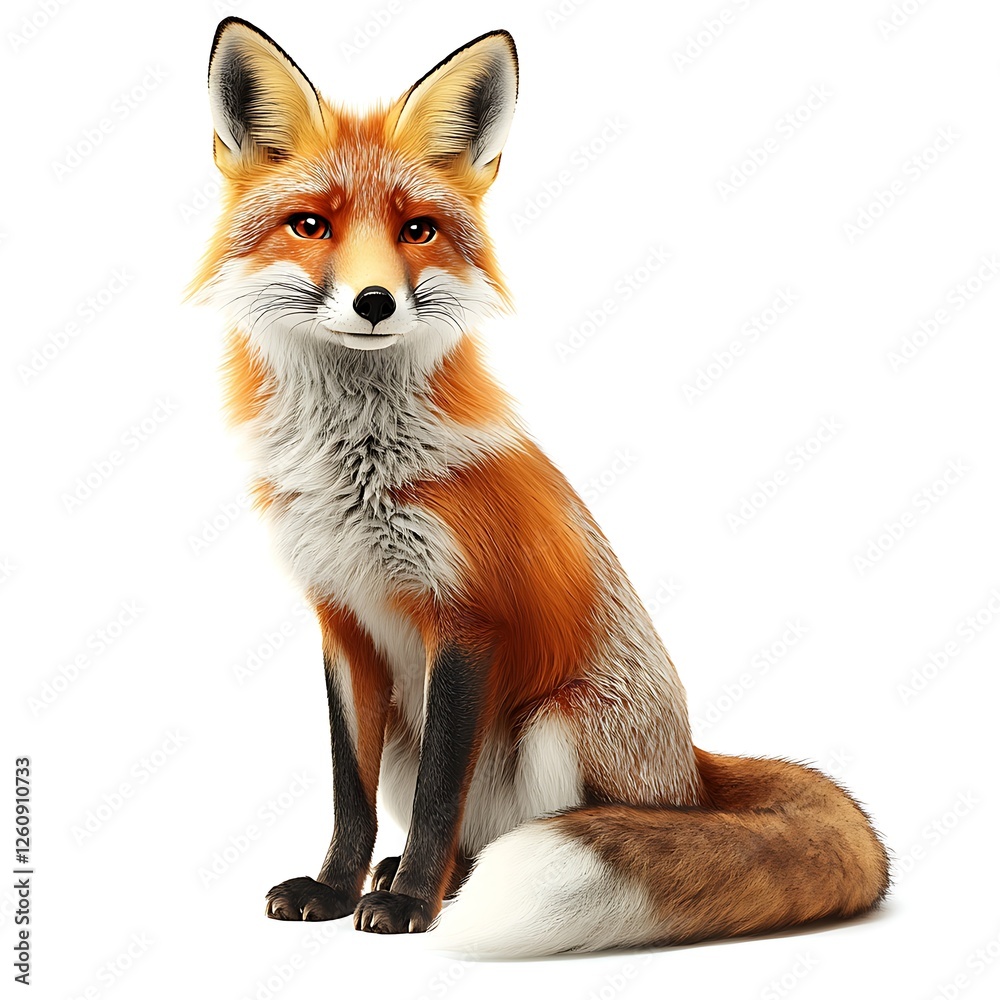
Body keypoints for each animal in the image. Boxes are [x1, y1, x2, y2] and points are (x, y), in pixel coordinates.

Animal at [192, 17, 890, 957]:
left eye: (418, 229)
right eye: (310, 225)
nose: (374, 301)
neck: (361, 468)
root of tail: (692, 767)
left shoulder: (467, 618)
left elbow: (439, 798)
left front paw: (408, 907)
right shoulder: (344, 622)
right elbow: (348, 792)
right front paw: (335, 889)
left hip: (557, 726)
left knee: (509, 830)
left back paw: (446, 885)